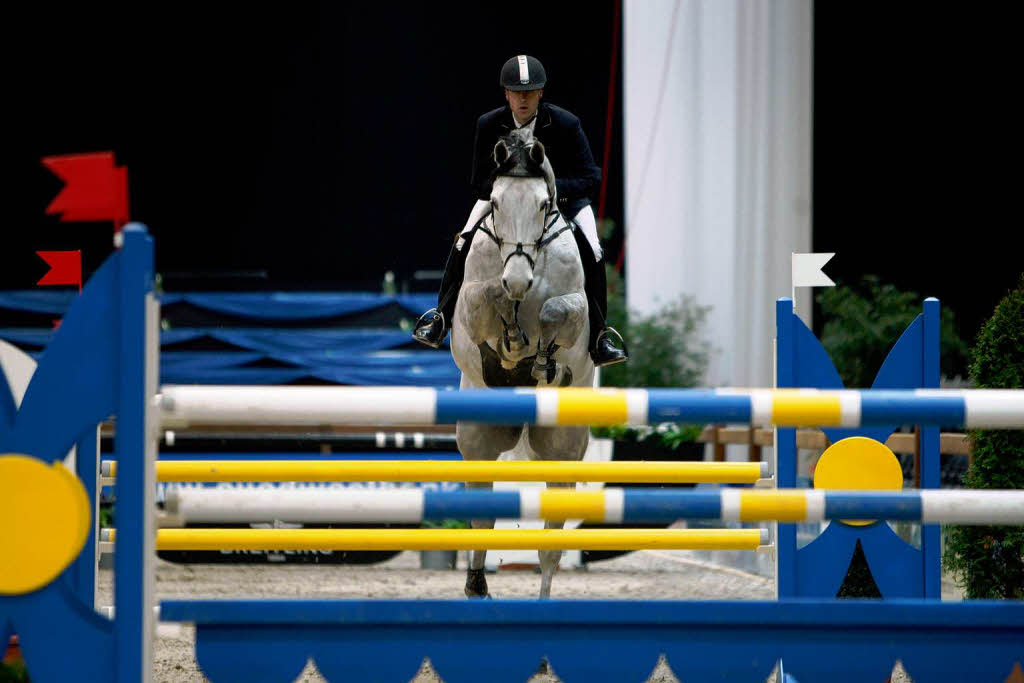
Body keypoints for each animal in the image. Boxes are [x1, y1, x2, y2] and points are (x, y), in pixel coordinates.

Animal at [450, 132, 593, 598]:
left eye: (544, 205)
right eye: (495, 203)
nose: (517, 281)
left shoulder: (576, 308)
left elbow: (554, 311)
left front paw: (543, 362)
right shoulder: (469, 311)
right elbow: (486, 298)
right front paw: (511, 339)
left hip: (562, 449)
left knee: (551, 541)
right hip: (478, 441)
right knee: (482, 517)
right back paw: (476, 585)